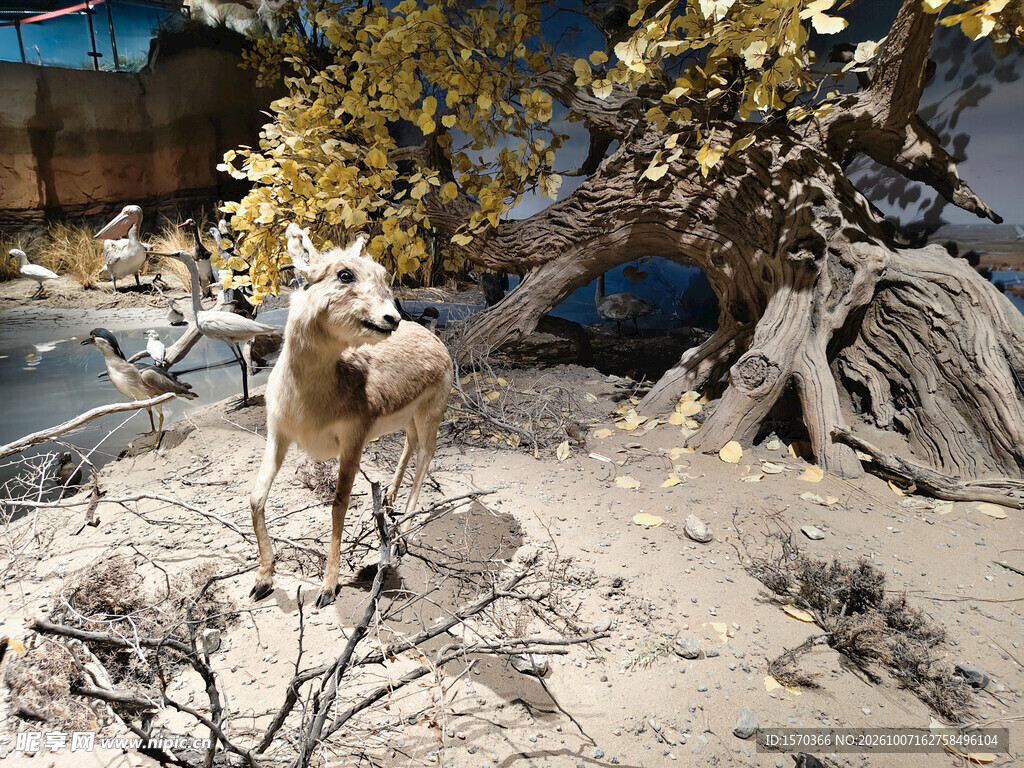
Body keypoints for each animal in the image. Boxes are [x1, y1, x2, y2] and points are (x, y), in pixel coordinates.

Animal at [248, 225, 453, 607]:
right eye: (344, 274)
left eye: (384, 275)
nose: (392, 318)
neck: (307, 402)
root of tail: (431, 335)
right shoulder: (277, 435)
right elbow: (256, 498)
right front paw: (263, 580)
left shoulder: (352, 442)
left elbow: (338, 505)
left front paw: (327, 588)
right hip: (407, 420)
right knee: (410, 445)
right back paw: (389, 499)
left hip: (430, 415)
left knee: (426, 456)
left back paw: (404, 533)